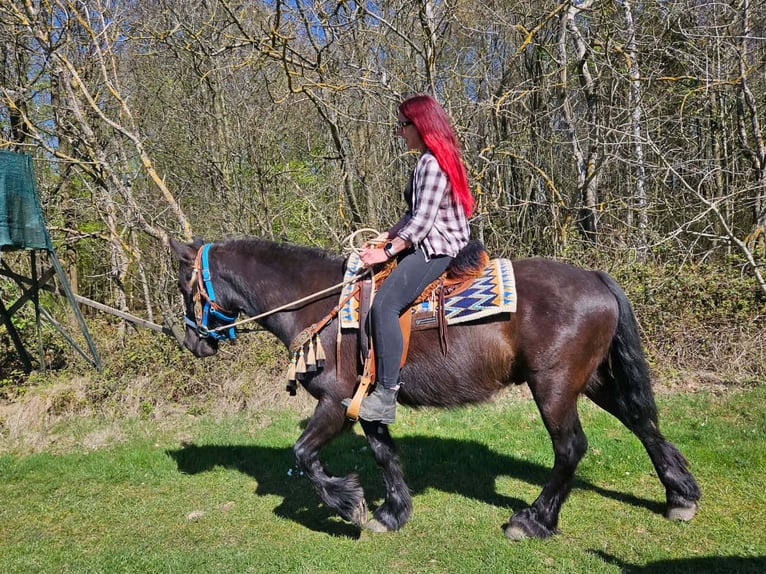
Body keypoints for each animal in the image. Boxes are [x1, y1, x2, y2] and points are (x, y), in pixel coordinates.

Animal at [169, 236, 700, 539]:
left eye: (182, 284)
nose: (191, 342)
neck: (320, 304)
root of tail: (593, 276)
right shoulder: (369, 402)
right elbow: (384, 454)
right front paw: (391, 512)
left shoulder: (336, 402)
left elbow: (302, 454)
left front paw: (349, 505)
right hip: (590, 380)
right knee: (642, 422)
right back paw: (680, 496)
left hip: (553, 387)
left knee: (571, 448)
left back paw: (533, 521)